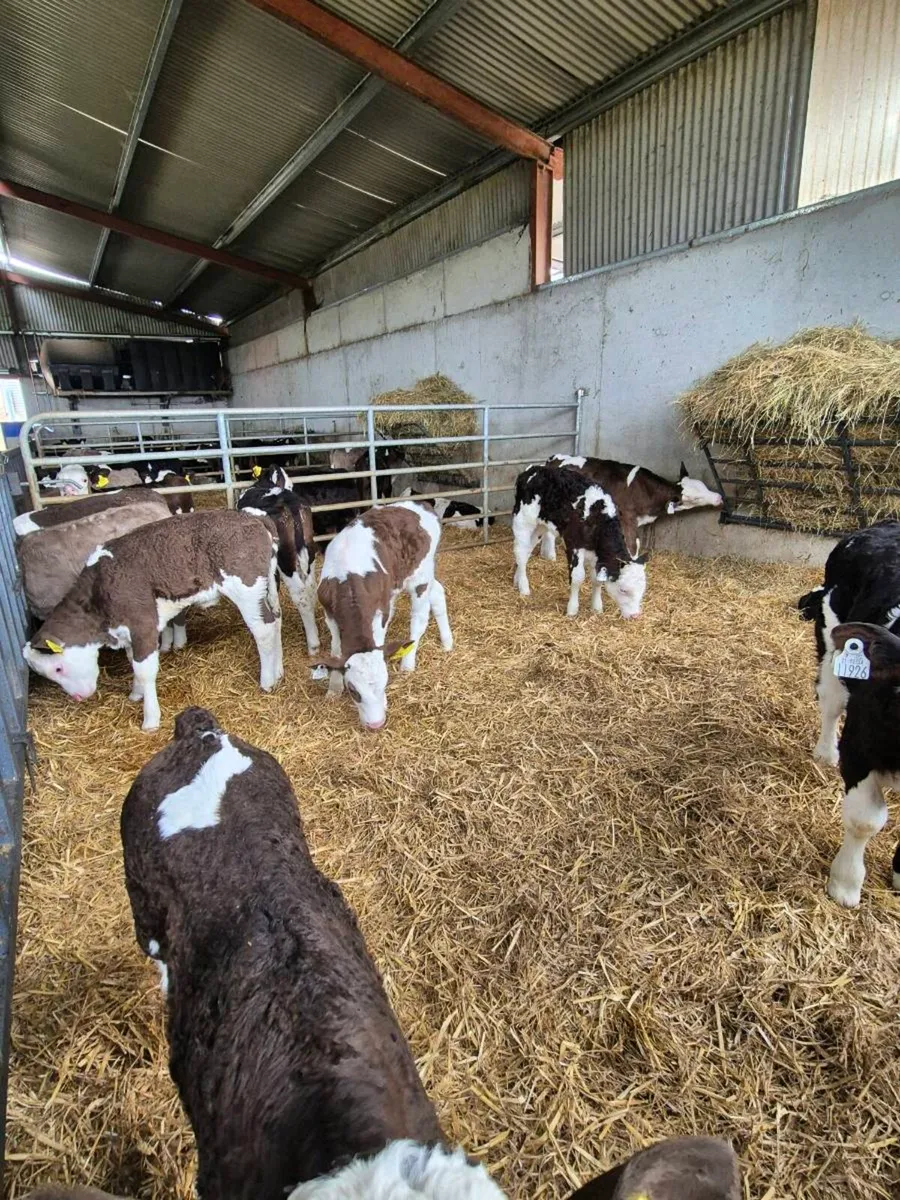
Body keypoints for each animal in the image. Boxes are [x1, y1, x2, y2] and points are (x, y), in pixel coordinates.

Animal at [23, 511, 283, 732]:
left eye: (58, 668)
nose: (79, 697)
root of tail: (254, 519)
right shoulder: (127, 632)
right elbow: (132, 663)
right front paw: (135, 695)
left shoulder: (143, 625)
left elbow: (144, 670)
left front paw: (150, 718)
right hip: (266, 588)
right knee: (277, 619)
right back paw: (278, 671)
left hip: (246, 590)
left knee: (263, 629)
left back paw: (266, 680)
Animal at [312, 502, 453, 730]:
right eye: (353, 691)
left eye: (385, 684)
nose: (376, 724)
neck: (349, 580)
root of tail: (420, 504)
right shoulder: (329, 613)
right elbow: (336, 649)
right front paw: (333, 688)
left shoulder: (381, 611)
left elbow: (378, 637)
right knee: (438, 592)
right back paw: (448, 642)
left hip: (420, 577)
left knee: (420, 618)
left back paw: (408, 664)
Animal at [512, 464, 646, 619]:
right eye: (623, 590)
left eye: (643, 589)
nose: (636, 615)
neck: (597, 516)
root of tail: (533, 468)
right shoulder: (574, 546)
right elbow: (577, 578)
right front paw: (572, 609)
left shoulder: (597, 554)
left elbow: (596, 580)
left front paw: (596, 607)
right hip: (523, 523)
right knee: (520, 553)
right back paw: (524, 588)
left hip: (540, 527)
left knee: (526, 551)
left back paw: (517, 579)